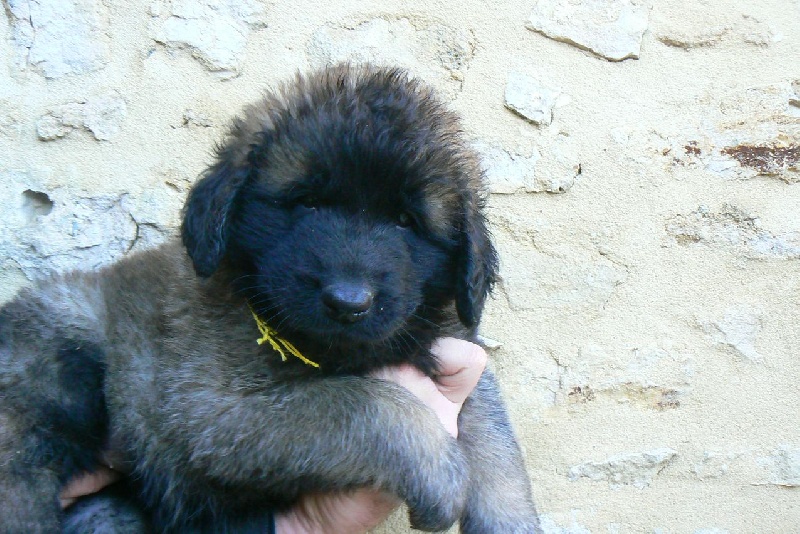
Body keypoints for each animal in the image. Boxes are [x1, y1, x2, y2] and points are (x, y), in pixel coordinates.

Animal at [0, 64, 540, 533]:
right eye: (307, 203)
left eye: (407, 222)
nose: (348, 301)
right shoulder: (211, 411)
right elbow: (363, 405)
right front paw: (438, 470)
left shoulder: (452, 346)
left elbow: (497, 442)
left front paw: (509, 516)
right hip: (60, 354)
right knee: (20, 469)